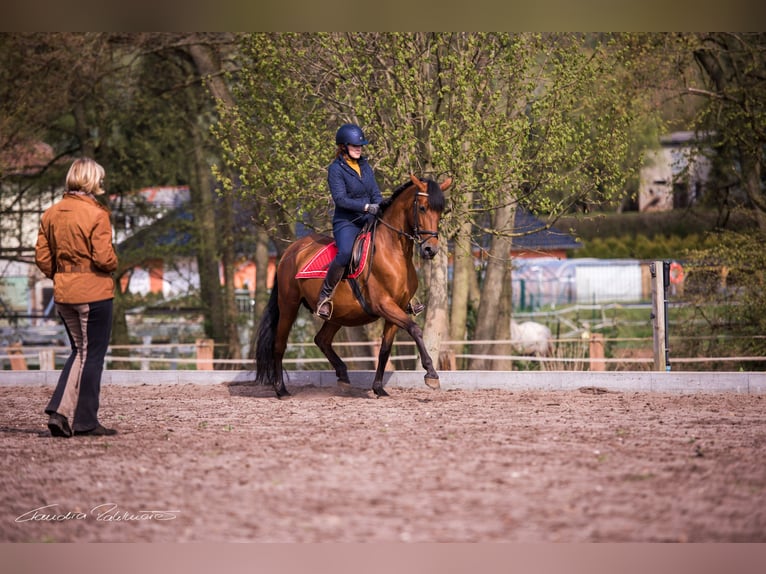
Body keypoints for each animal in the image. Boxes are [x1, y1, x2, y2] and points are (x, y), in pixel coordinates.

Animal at [254, 174, 452, 398]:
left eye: (441, 211)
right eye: (423, 208)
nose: (430, 249)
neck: (394, 252)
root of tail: (291, 251)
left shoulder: (397, 308)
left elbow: (385, 350)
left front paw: (378, 388)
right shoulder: (384, 305)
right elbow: (415, 329)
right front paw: (431, 373)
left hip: (338, 313)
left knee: (321, 339)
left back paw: (342, 375)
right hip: (289, 305)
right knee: (279, 344)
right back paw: (281, 389)